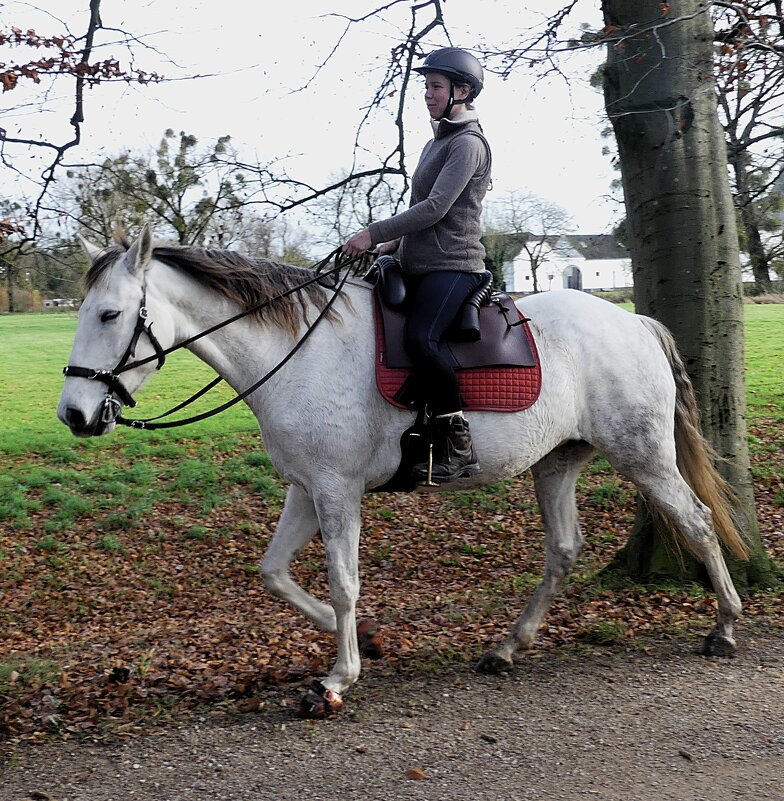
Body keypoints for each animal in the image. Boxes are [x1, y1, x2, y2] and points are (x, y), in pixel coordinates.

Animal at [56, 227, 748, 720]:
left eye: (110, 315)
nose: (74, 414)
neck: (297, 351)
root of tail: (632, 321)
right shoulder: (306, 488)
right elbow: (274, 573)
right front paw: (367, 639)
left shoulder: (336, 490)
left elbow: (342, 583)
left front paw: (336, 680)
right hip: (557, 462)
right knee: (564, 550)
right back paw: (507, 647)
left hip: (643, 456)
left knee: (697, 521)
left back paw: (725, 628)